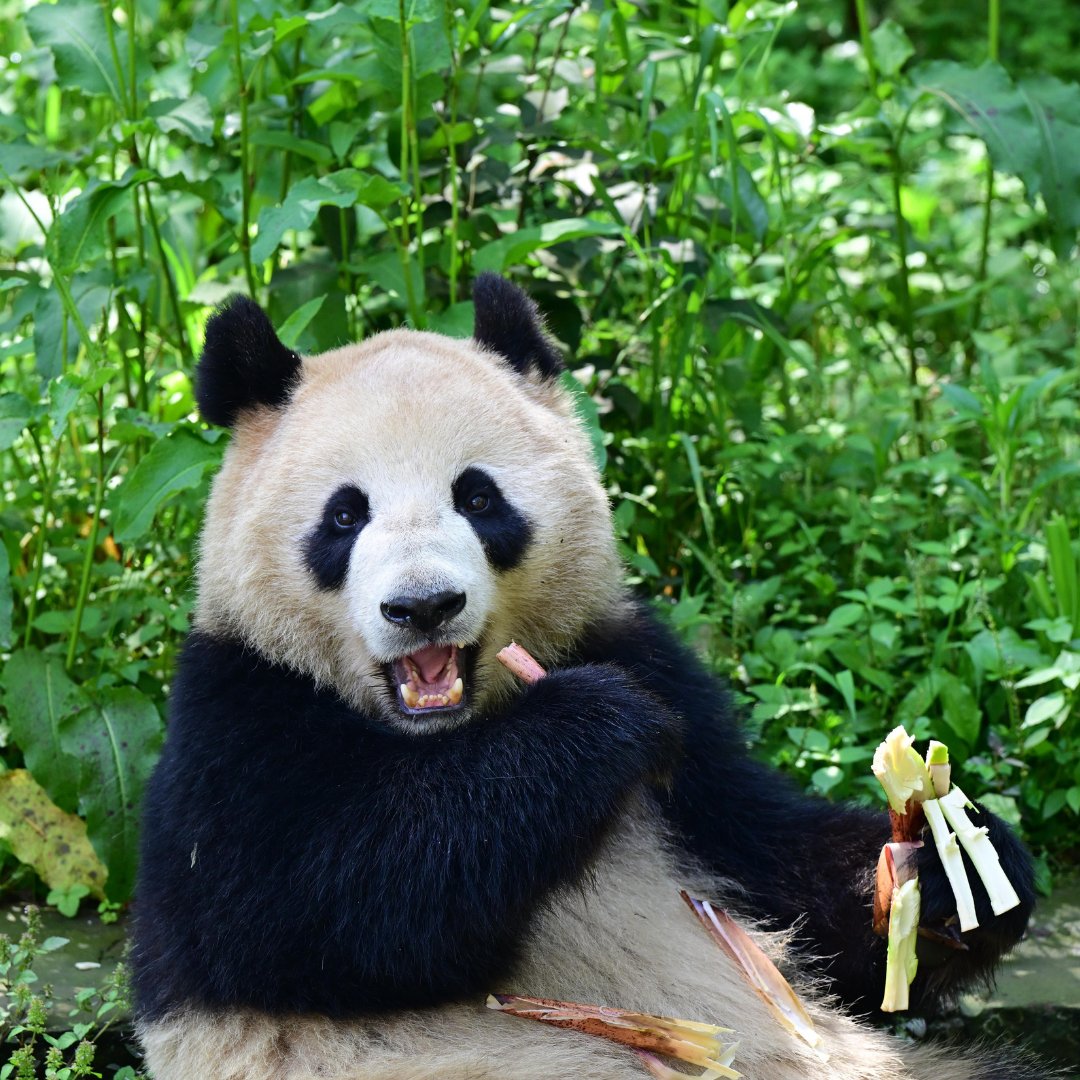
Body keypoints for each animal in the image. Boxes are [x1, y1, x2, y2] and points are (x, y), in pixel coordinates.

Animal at [130, 276, 1049, 1080]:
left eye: (478, 497)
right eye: (345, 515)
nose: (423, 606)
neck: (447, 732)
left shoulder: (644, 665)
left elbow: (776, 867)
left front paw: (947, 872)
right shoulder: (237, 713)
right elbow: (305, 911)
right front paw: (597, 726)